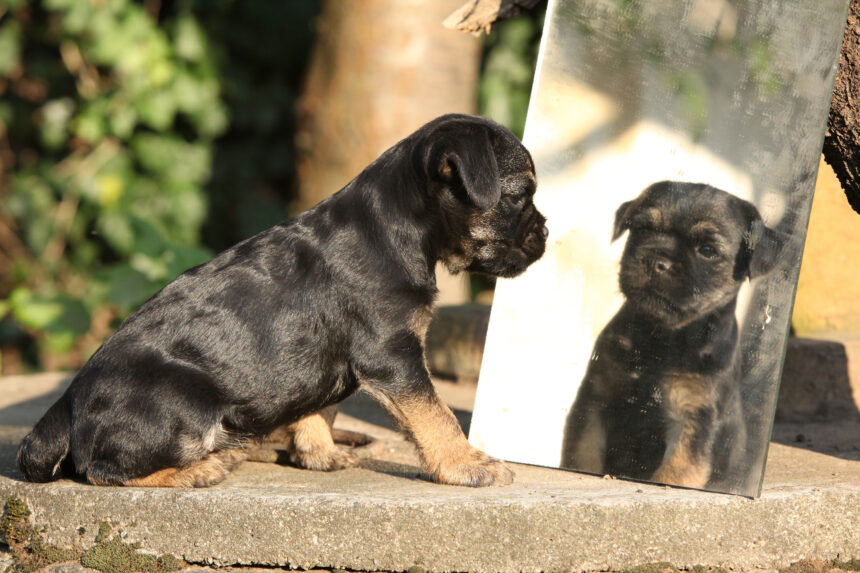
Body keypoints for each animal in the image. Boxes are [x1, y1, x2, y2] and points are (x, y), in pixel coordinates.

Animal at [20, 113, 548, 488]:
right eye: (520, 195)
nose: (546, 233)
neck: (397, 227)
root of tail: (67, 404)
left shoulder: (326, 363)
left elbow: (313, 407)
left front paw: (319, 453)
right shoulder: (394, 356)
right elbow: (435, 414)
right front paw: (466, 464)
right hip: (184, 405)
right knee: (103, 468)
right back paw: (203, 468)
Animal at [560, 181, 784, 490]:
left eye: (708, 250)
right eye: (643, 229)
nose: (657, 261)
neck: (662, 340)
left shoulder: (693, 419)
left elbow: (672, 474)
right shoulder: (595, 399)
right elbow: (582, 455)